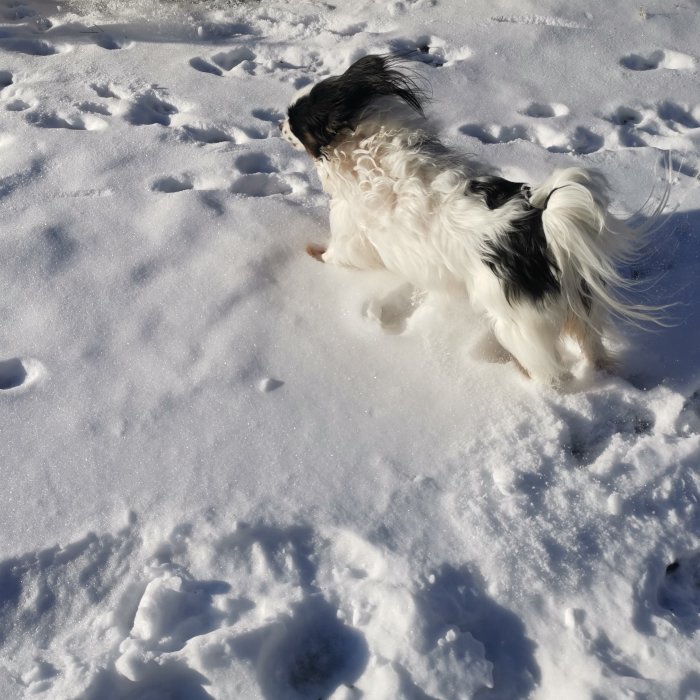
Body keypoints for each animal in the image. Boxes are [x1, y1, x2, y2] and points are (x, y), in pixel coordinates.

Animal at [280, 55, 668, 386]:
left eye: (294, 120)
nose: (279, 123)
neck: (368, 148)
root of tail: (538, 229)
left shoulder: (351, 234)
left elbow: (337, 256)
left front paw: (312, 255)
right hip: (580, 304)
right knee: (591, 345)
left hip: (516, 323)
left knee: (550, 372)